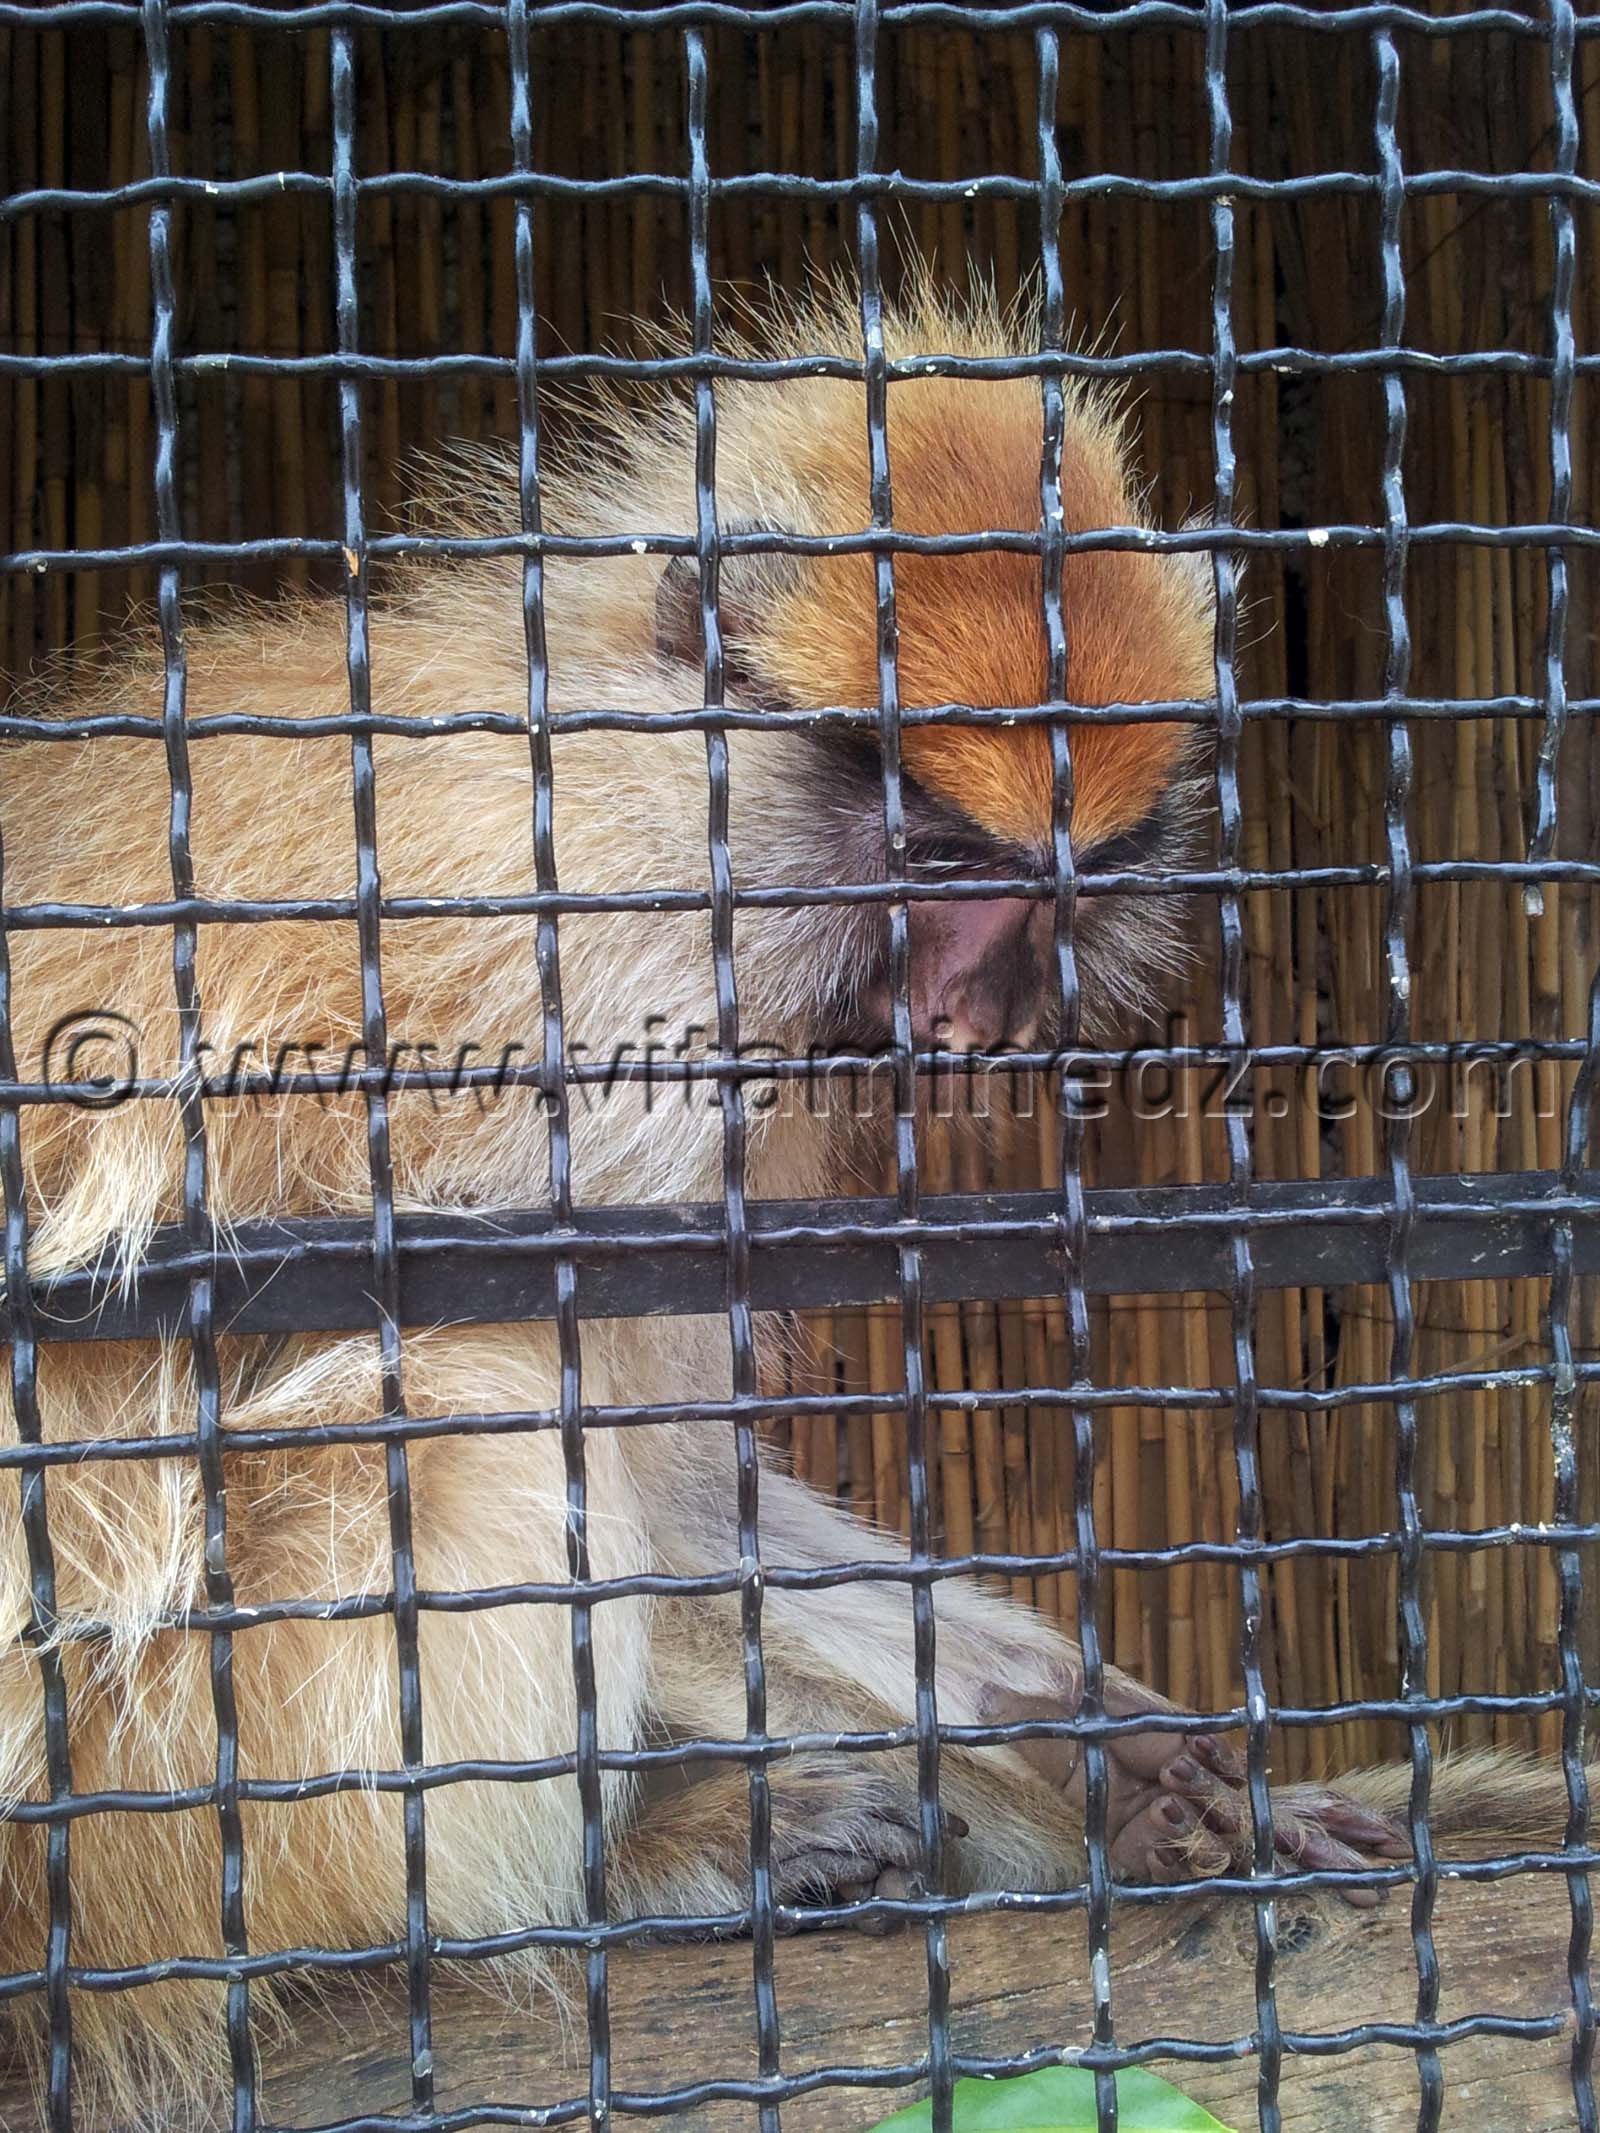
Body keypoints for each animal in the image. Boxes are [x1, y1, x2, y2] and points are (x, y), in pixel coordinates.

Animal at [0, 280, 1564, 2127]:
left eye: (1055, 893)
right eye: (942, 863)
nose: (966, 1017)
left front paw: (1098, 1749)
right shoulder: (617, 999)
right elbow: (631, 1470)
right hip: (167, 1791)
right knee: (464, 1399)